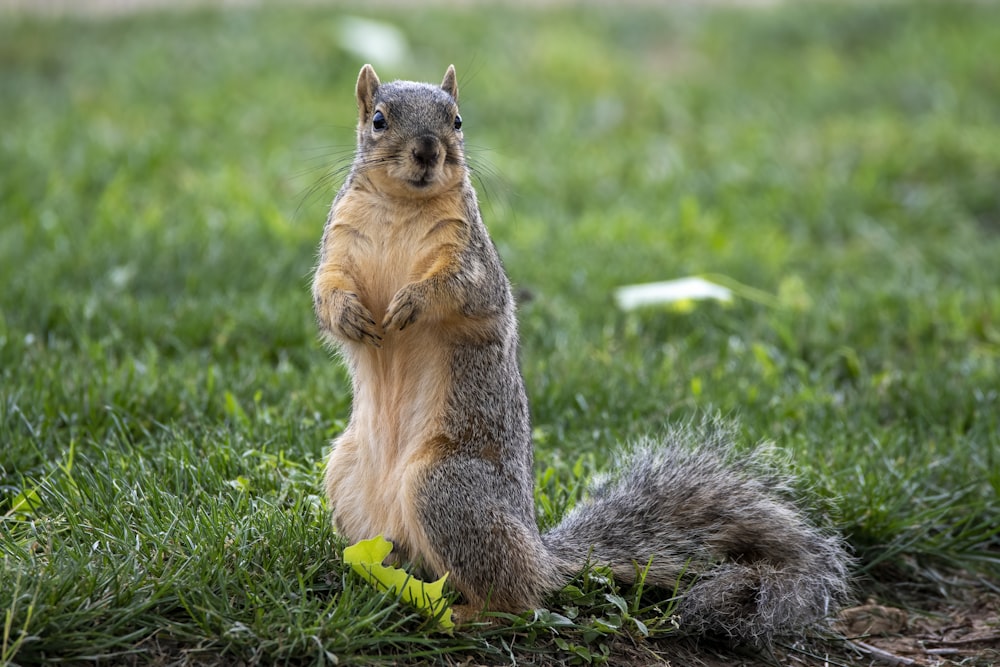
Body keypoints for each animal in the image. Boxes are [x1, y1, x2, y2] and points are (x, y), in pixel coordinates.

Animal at [312, 65, 852, 644]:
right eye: (378, 119)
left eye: (456, 120)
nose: (429, 152)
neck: (402, 207)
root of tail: (539, 554)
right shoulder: (338, 243)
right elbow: (325, 293)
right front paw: (348, 314)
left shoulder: (471, 257)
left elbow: (461, 290)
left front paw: (412, 301)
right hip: (347, 477)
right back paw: (372, 582)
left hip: (447, 489)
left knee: (518, 598)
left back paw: (466, 613)